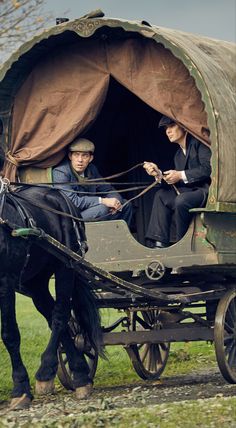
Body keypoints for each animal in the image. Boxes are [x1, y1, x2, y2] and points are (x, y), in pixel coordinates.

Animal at [0, 182, 103, 410]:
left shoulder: (6, 281)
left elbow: (10, 334)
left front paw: (20, 389)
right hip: (35, 283)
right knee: (57, 319)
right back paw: (79, 371)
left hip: (66, 267)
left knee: (59, 316)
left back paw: (53, 373)